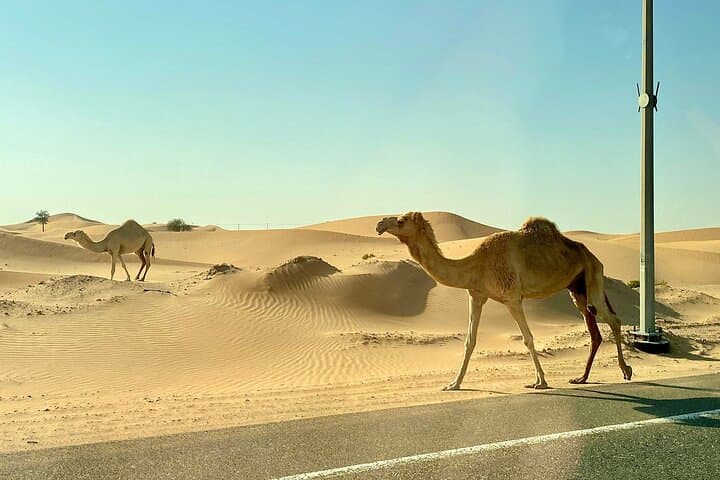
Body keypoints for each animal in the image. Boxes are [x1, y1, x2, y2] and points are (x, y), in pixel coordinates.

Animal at [376, 212, 632, 390]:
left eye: (400, 220)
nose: (380, 224)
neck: (476, 264)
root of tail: (593, 256)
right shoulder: (477, 295)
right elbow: (470, 341)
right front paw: (453, 384)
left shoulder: (512, 298)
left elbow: (528, 338)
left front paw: (540, 382)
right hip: (577, 288)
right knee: (594, 330)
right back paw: (581, 378)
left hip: (592, 276)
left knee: (613, 319)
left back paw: (626, 371)